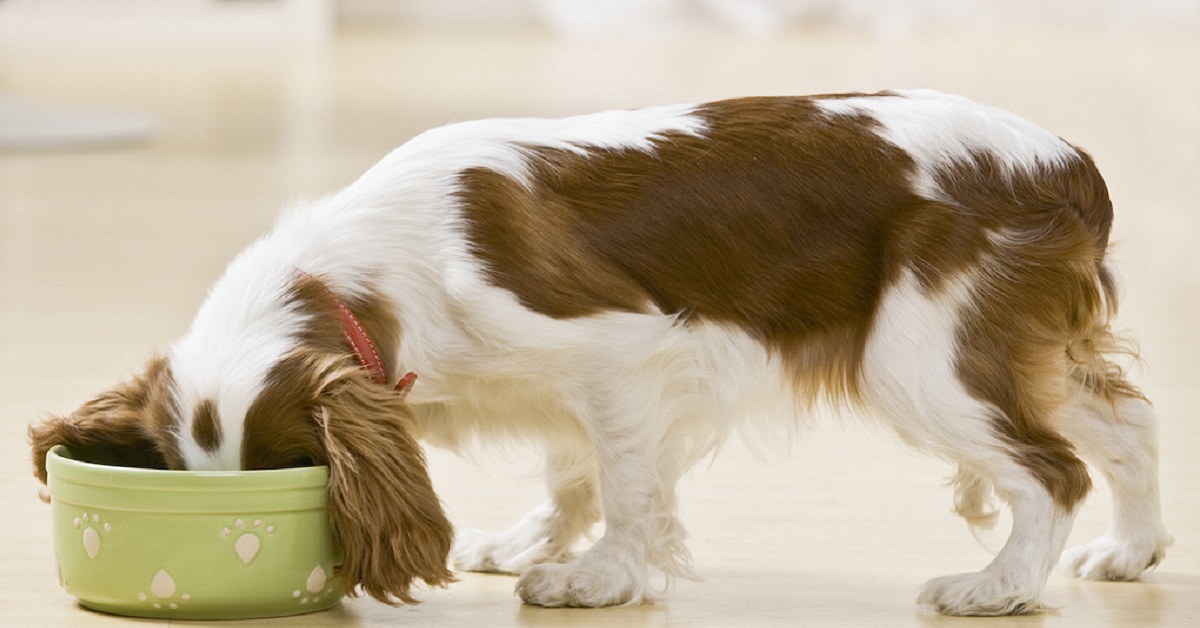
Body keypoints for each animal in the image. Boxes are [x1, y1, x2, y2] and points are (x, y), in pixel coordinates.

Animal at [30, 90, 1171, 614]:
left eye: (294, 470)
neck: (364, 276)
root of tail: (1068, 164)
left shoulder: (619, 355)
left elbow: (624, 484)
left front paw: (597, 577)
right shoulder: (563, 389)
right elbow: (572, 469)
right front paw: (536, 539)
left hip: (921, 357)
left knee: (1050, 470)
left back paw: (999, 587)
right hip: (1016, 346)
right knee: (1126, 423)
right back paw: (1133, 551)